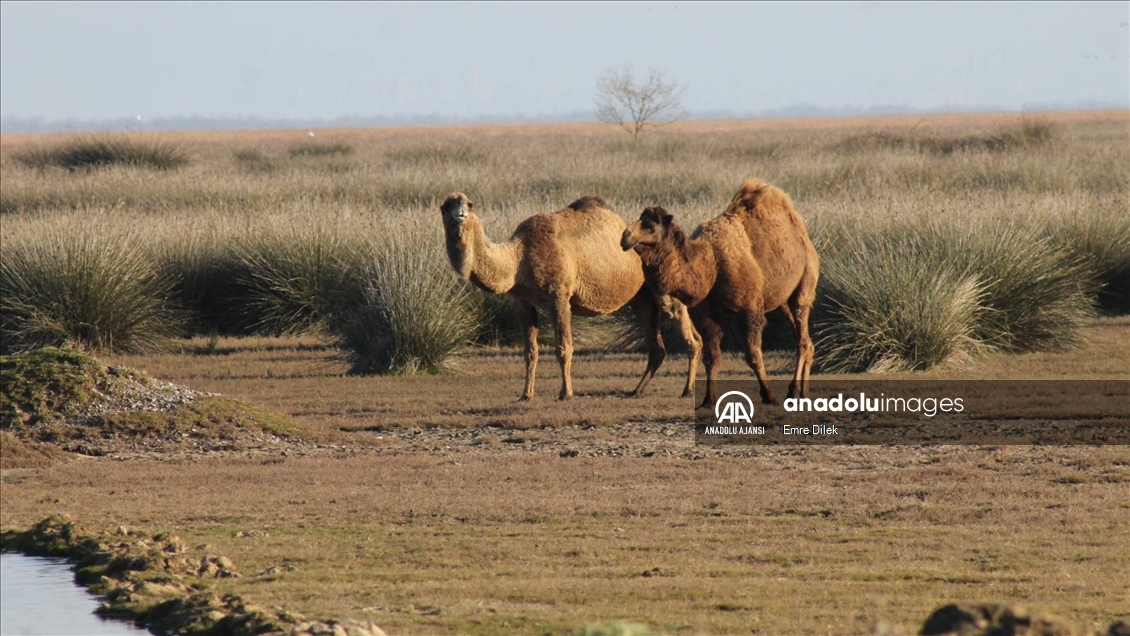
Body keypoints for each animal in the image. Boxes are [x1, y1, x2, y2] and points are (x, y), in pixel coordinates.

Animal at [438, 194, 696, 402]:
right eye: (446, 205)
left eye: (469, 205)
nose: (460, 215)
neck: (519, 257)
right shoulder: (522, 303)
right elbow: (530, 352)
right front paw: (526, 395)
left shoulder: (559, 297)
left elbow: (564, 348)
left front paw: (566, 393)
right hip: (641, 299)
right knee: (657, 346)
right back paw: (637, 391)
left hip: (664, 288)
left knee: (689, 334)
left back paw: (687, 390)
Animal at [619, 179, 822, 408]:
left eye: (651, 226)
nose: (625, 236)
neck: (710, 264)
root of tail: (804, 237)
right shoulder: (704, 311)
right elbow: (712, 356)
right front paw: (708, 400)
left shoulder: (750, 308)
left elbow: (753, 355)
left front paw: (769, 396)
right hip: (782, 301)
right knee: (806, 341)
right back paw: (803, 393)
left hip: (805, 286)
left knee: (802, 339)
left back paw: (793, 391)